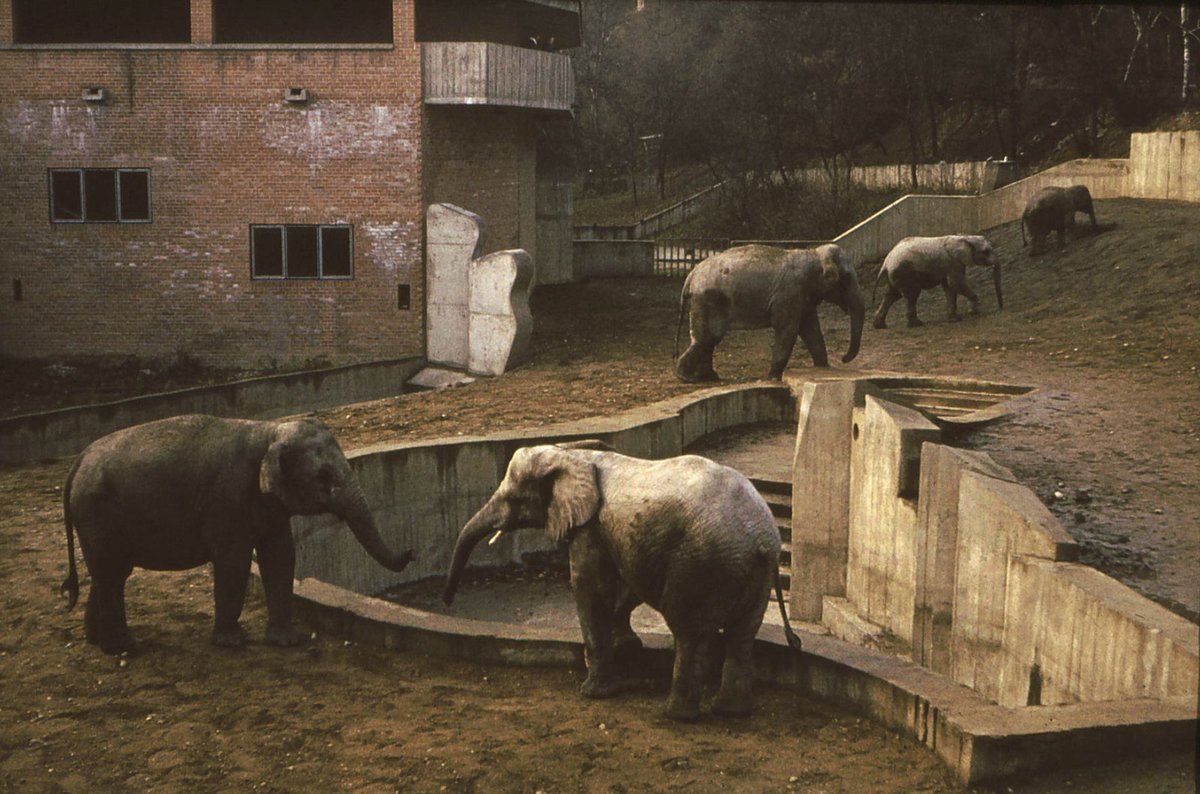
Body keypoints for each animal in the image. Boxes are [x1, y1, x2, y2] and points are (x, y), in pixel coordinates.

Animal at [62, 412, 417, 657]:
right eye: (323, 477)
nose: (412, 552)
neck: (269, 431)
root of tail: (79, 460)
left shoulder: (269, 503)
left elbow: (281, 554)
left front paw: (288, 641)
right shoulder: (228, 499)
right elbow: (234, 560)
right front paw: (232, 643)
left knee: (109, 574)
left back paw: (97, 641)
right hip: (98, 513)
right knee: (111, 574)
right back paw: (124, 649)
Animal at [439, 443, 796, 724]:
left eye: (514, 499)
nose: (446, 600)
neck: (573, 454)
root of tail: (763, 542)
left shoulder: (589, 527)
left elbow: (589, 587)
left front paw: (593, 693)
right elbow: (627, 584)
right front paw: (626, 649)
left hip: (701, 564)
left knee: (689, 630)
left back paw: (678, 716)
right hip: (752, 575)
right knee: (741, 635)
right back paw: (732, 712)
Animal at [676, 242, 864, 383]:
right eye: (847, 277)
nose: (843, 358)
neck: (813, 254)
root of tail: (691, 275)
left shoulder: (803, 298)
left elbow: (811, 330)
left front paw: (823, 368)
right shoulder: (789, 293)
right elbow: (788, 329)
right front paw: (773, 378)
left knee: (708, 340)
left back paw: (709, 377)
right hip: (707, 300)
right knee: (707, 338)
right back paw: (687, 378)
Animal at [873, 233, 1003, 328]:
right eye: (986, 252)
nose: (1000, 309)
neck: (964, 237)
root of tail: (886, 262)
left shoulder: (951, 265)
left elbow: (949, 287)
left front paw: (955, 319)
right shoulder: (953, 262)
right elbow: (956, 283)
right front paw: (973, 312)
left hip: (896, 274)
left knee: (892, 295)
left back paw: (880, 326)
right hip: (904, 272)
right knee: (911, 295)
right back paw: (917, 324)